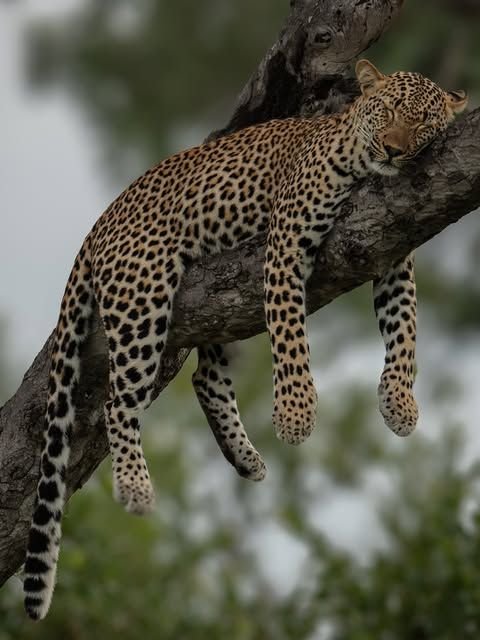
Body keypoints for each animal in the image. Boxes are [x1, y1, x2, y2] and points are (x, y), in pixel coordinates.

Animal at [23, 59, 466, 620]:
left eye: (424, 122)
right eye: (385, 111)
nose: (392, 149)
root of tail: (100, 222)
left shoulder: (393, 257)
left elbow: (405, 332)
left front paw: (400, 404)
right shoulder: (286, 245)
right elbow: (291, 335)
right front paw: (297, 416)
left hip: (218, 308)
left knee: (205, 377)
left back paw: (244, 458)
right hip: (144, 298)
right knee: (117, 403)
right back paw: (136, 488)